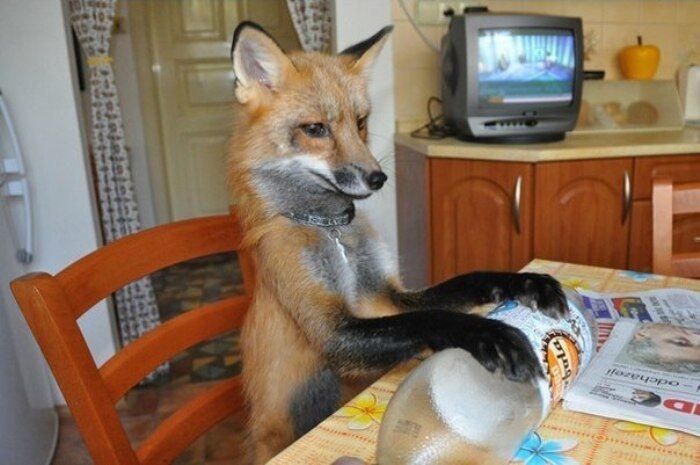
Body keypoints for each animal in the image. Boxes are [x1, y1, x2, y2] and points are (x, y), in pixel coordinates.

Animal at [227, 21, 568, 464]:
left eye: (360, 122)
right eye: (316, 129)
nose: (378, 178)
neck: (332, 231)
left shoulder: (387, 296)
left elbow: (464, 284)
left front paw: (524, 282)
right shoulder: (332, 331)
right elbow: (433, 320)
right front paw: (492, 334)